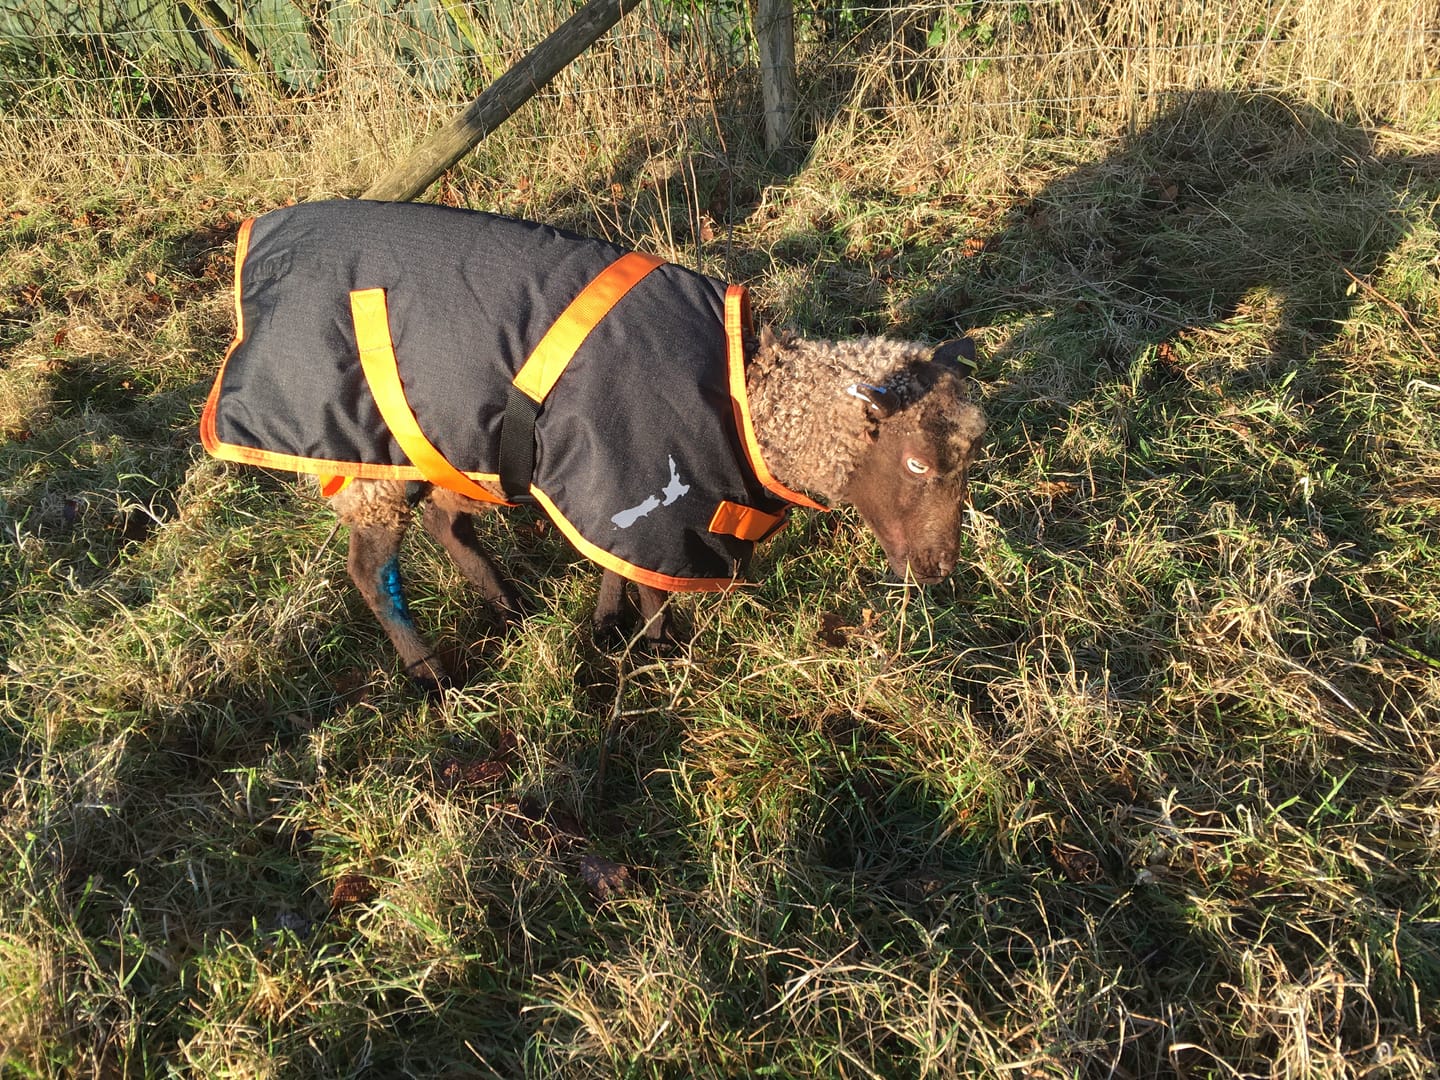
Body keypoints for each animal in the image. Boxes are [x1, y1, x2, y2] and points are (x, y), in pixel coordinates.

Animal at [200, 201, 987, 688]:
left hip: (450, 446)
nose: (940, 570)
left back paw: (506, 607)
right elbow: (653, 587)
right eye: (917, 463)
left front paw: (609, 627)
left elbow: (618, 566)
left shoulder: (617, 490)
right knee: (370, 571)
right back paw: (432, 674)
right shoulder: (640, 482)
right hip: (371, 461)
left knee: (447, 524)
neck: (749, 403)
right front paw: (659, 652)